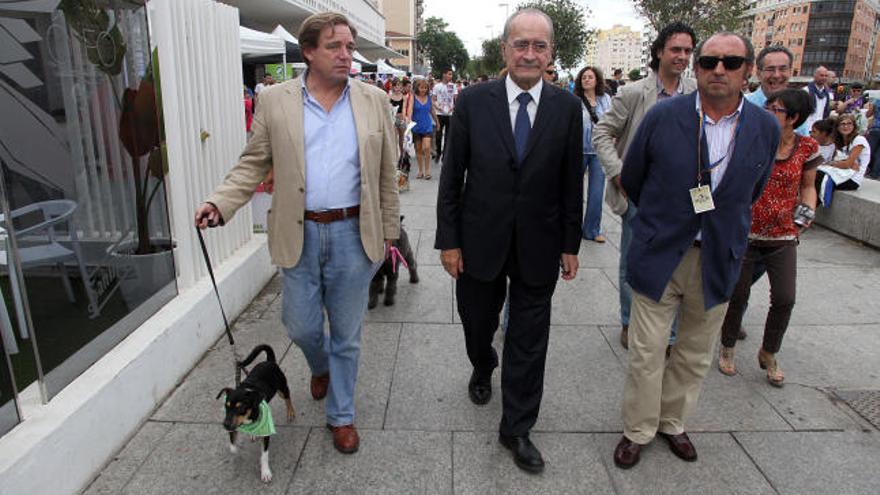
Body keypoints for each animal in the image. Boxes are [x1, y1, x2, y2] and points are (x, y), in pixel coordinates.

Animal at [217, 346, 296, 482]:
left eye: (240, 407)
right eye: (226, 406)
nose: (225, 425)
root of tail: (269, 361)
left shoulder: (266, 432)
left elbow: (264, 455)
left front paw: (265, 472)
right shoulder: (233, 423)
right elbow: (232, 444)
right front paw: (236, 448)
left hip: (281, 389)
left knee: (287, 398)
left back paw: (290, 412)